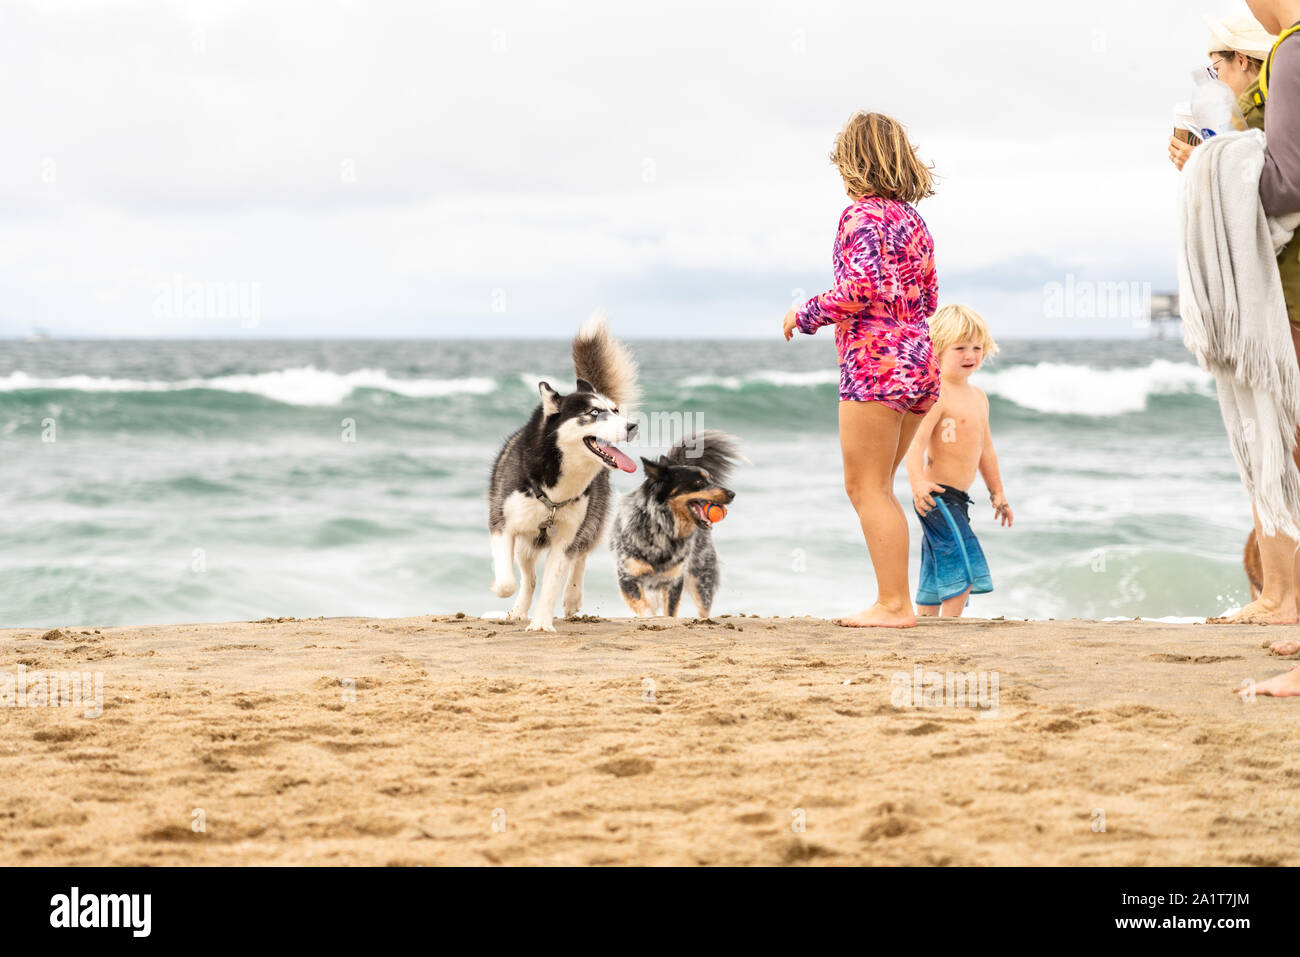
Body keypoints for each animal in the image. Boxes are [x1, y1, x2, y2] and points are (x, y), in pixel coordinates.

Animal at [488, 314, 639, 629]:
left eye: (615, 411)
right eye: (594, 413)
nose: (633, 426)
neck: (554, 490)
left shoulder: (566, 537)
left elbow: (552, 583)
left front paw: (542, 624)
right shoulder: (502, 525)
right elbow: (509, 581)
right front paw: (502, 590)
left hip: (589, 524)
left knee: (577, 559)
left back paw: (571, 598)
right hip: (526, 542)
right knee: (529, 577)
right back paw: (518, 611)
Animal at [608, 434, 743, 621]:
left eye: (712, 479)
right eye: (699, 482)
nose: (732, 494)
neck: (662, 527)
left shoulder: (674, 581)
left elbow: (670, 613)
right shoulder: (627, 577)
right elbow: (646, 610)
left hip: (702, 579)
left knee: (704, 608)